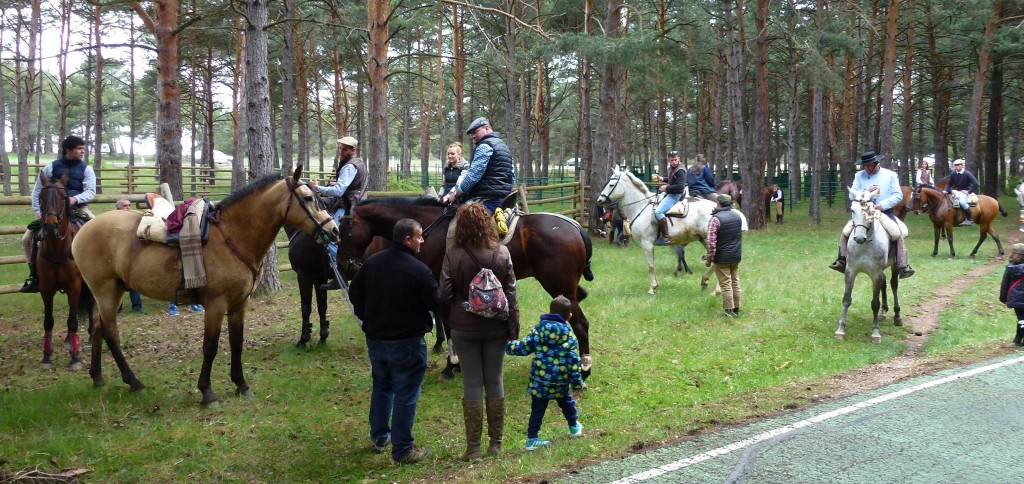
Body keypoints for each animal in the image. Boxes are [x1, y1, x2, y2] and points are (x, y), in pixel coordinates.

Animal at [35, 177, 93, 370]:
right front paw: (46, 355)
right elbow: (48, 321)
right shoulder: (46, 289)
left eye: (63, 197)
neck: (57, 251)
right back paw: (68, 338)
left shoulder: (74, 287)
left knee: (91, 306)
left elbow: (73, 321)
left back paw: (91, 336)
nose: (50, 225)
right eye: (41, 196)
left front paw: (75, 358)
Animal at [69, 165, 339, 403]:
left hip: (108, 293)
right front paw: (207, 392)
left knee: (98, 328)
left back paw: (98, 378)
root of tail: (84, 229)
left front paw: (241, 385)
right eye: (308, 198)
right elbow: (210, 347)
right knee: (111, 334)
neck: (233, 237)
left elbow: (236, 342)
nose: (334, 230)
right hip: (106, 291)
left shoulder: (240, 304)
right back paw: (134, 383)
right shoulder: (216, 305)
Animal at [335, 195, 598, 374]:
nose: (341, 264)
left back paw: (585, 369)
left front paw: (452, 364)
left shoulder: (442, 286)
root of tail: (575, 227)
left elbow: (448, 323)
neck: (429, 228)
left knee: (580, 324)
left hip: (560, 287)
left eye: (345, 230)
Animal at [598, 165, 749, 294]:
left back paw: (715, 289)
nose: (600, 200)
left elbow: (650, 266)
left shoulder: (647, 243)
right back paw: (706, 282)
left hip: (708, 240)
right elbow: (654, 264)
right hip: (705, 240)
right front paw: (656, 285)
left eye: (611, 185)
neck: (642, 207)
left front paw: (652, 288)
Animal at [831, 187, 905, 341]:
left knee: (894, 285)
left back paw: (897, 316)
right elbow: (846, 299)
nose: (859, 238)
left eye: (870, 211)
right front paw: (840, 330)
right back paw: (883, 313)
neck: (864, 246)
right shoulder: (850, 271)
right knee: (884, 284)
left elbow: (875, 303)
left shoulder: (875, 274)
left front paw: (875, 332)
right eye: (852, 210)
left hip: (894, 266)